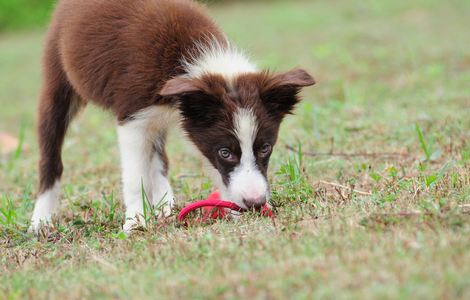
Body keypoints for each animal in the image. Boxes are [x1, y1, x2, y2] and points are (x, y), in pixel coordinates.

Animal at [30, 0, 316, 234]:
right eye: (225, 152)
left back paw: (164, 203)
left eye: (265, 148)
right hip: (57, 74)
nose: (256, 203)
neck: (194, 63)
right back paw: (40, 219)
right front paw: (135, 221)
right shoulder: (133, 116)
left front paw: (231, 207)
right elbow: (135, 174)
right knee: (51, 153)